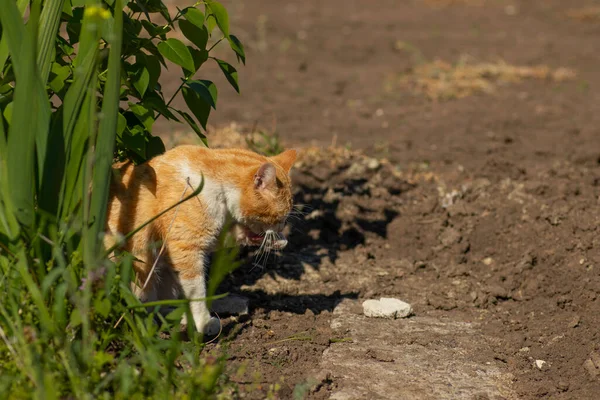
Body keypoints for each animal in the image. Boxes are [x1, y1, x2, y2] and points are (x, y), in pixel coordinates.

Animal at [107, 146, 298, 334]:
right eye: (280, 217)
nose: (283, 226)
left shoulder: (209, 236)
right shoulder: (186, 248)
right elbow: (197, 291)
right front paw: (203, 323)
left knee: (161, 306)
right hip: (138, 269)